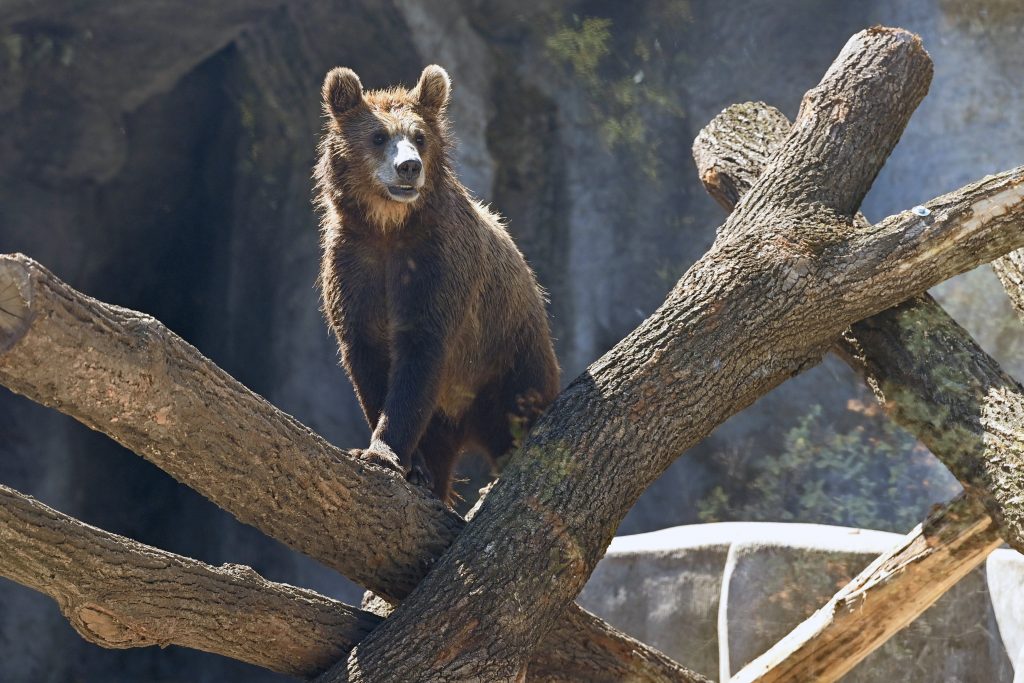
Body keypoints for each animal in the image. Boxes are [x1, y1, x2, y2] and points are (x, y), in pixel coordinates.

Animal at [317, 65, 561, 501]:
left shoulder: (438, 265)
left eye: (419, 136)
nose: (409, 167)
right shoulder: (353, 266)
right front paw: (410, 465)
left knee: (517, 408)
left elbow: (420, 350)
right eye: (378, 136)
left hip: (507, 353)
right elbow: (367, 356)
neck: (388, 228)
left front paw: (385, 453)